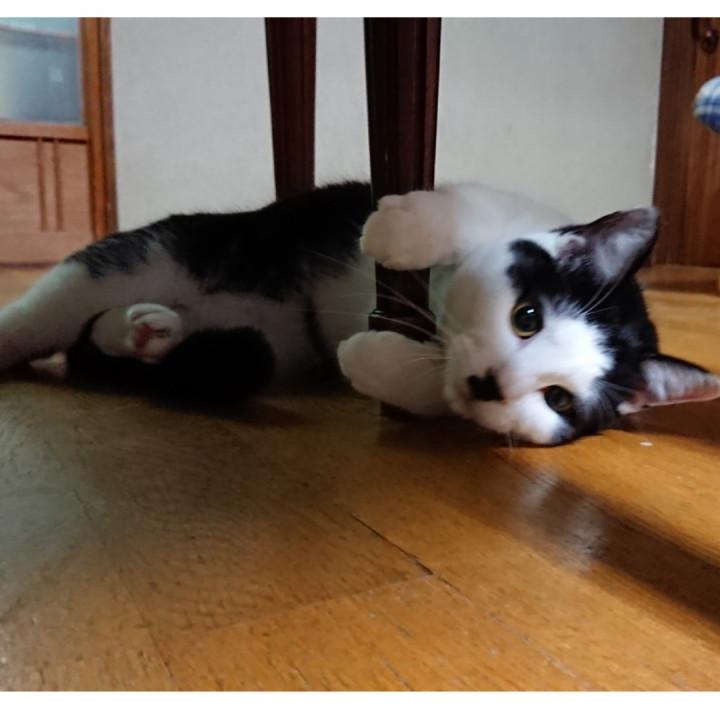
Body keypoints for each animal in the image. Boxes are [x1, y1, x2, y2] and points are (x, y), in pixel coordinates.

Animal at [0, 181, 717, 445]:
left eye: (560, 400)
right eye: (527, 317)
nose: (491, 382)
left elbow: (434, 394)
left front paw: (373, 361)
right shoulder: (501, 207)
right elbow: (465, 212)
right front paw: (398, 231)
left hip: (268, 342)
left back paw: (149, 331)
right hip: (167, 252)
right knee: (52, 310)